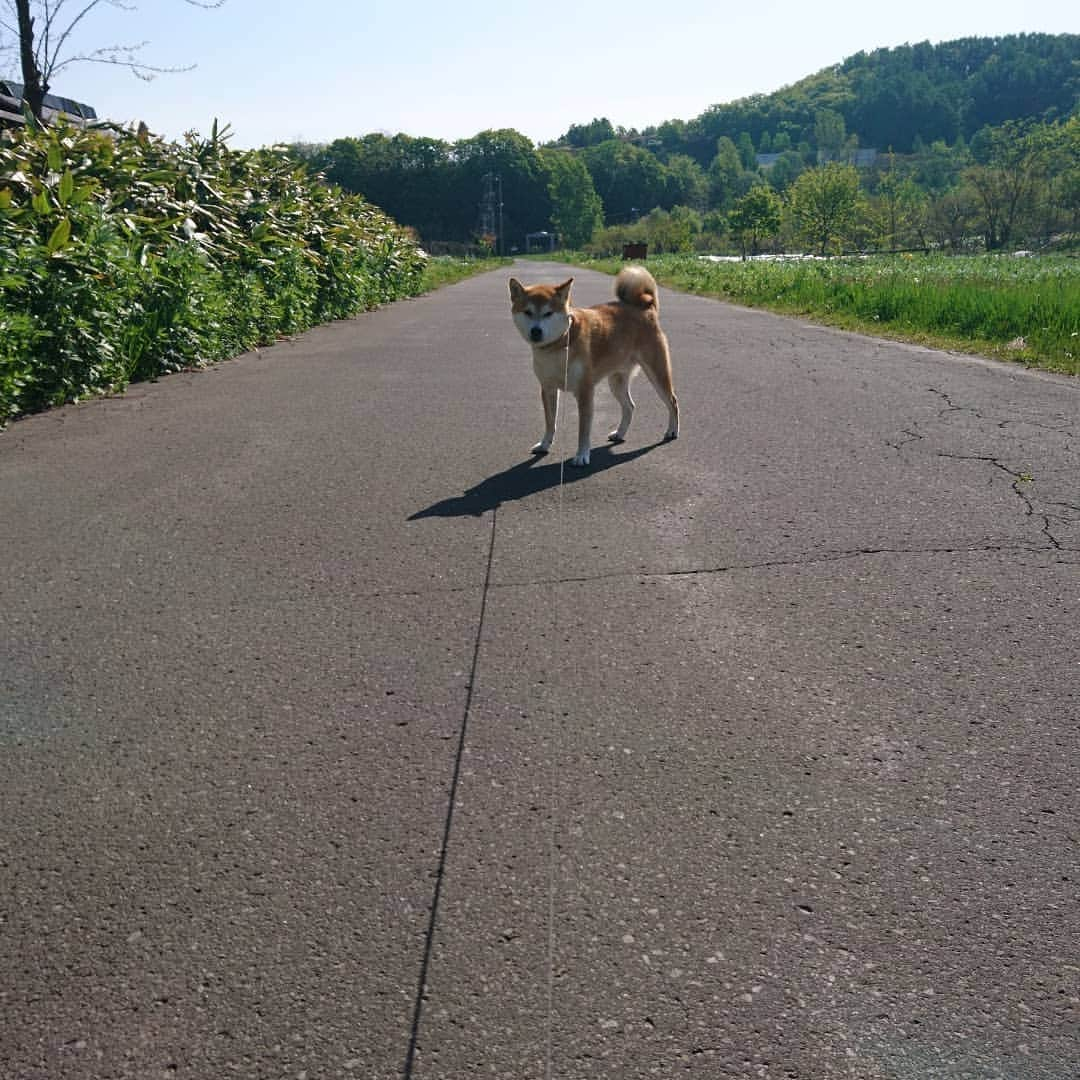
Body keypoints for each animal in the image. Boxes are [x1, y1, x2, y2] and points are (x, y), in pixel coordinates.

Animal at [507, 267, 678, 466]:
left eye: (548, 313)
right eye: (527, 312)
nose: (536, 331)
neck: (559, 346)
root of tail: (646, 307)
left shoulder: (584, 391)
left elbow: (583, 430)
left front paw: (582, 455)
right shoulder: (548, 388)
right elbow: (550, 422)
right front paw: (544, 445)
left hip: (657, 373)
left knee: (673, 401)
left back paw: (672, 431)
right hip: (616, 381)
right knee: (630, 406)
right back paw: (619, 433)